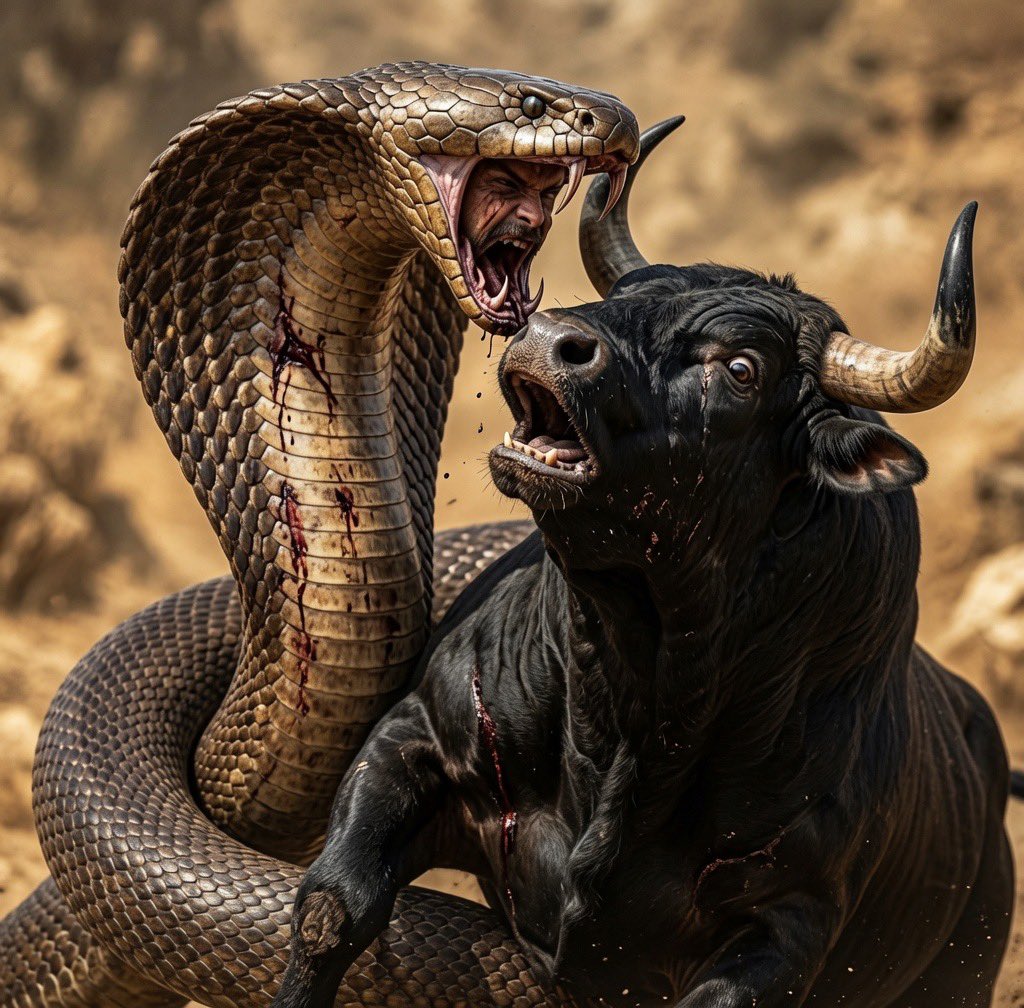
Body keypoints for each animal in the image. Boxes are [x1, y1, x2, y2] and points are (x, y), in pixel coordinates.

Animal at [271, 119, 1014, 1008]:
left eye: (741, 368)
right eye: (625, 297)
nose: (546, 339)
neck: (638, 701)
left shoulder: (785, 925)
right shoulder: (415, 738)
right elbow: (334, 907)